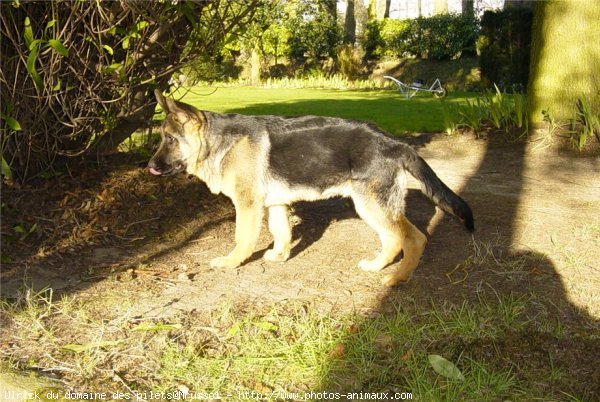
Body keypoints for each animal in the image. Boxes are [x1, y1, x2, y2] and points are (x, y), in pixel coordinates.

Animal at [149, 91, 474, 286]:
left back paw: (397, 279)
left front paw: (231, 262)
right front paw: (280, 256)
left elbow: (242, 237)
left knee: (414, 238)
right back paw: (377, 266)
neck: (218, 141)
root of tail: (395, 142)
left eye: (169, 139)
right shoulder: (275, 204)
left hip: (371, 205)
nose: (149, 167)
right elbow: (281, 232)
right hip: (369, 206)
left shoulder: (247, 204)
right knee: (394, 239)